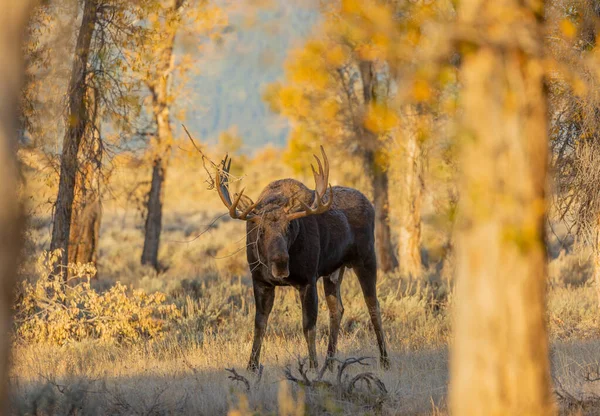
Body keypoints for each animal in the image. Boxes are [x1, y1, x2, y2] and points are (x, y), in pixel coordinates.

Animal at [216, 146, 390, 370]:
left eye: (289, 227)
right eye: (261, 230)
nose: (281, 264)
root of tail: (370, 204)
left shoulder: (308, 280)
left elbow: (308, 326)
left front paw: (313, 366)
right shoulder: (260, 281)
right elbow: (259, 324)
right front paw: (251, 367)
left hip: (367, 258)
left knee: (373, 305)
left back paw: (384, 360)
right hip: (334, 270)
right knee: (337, 309)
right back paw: (330, 363)